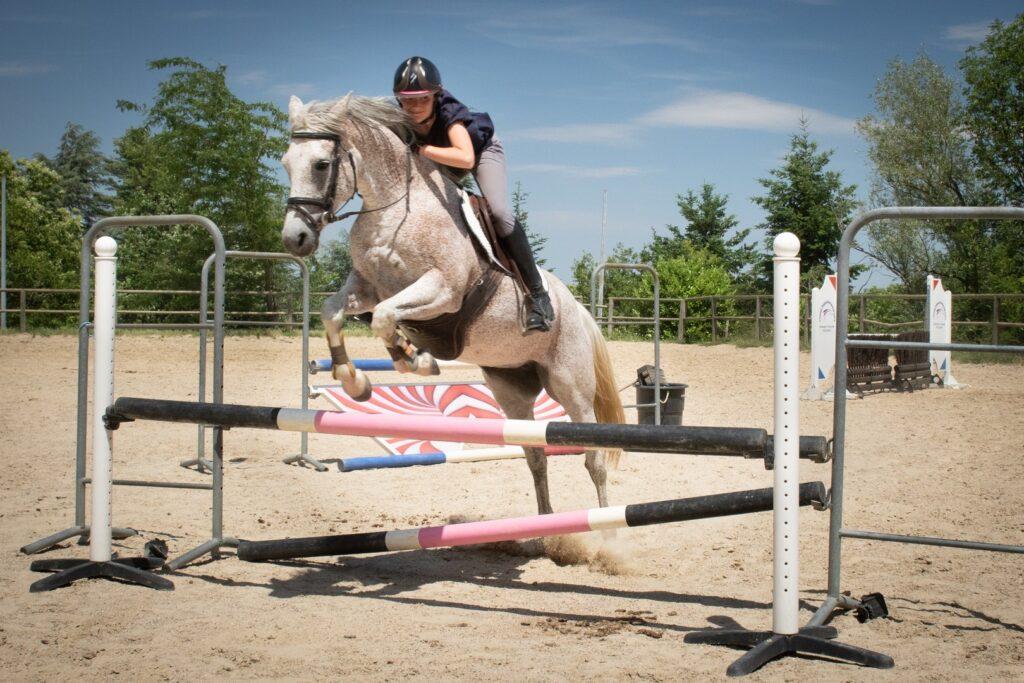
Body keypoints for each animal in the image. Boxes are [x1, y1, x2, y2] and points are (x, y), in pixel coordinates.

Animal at [284, 93, 626, 516]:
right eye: (285, 163)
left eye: (320, 164)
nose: (294, 238)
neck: (394, 208)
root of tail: (578, 309)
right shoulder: (366, 288)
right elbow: (332, 312)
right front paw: (356, 380)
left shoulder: (442, 289)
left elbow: (384, 318)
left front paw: (413, 358)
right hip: (511, 388)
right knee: (535, 455)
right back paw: (548, 526)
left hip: (571, 385)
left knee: (594, 458)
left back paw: (605, 524)